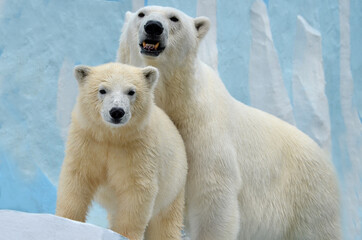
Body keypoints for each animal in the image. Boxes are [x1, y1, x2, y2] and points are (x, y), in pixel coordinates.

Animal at [117, 5, 340, 240]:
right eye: (141, 13)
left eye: (174, 18)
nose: (153, 26)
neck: (176, 100)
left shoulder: (204, 133)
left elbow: (213, 198)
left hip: (308, 196)